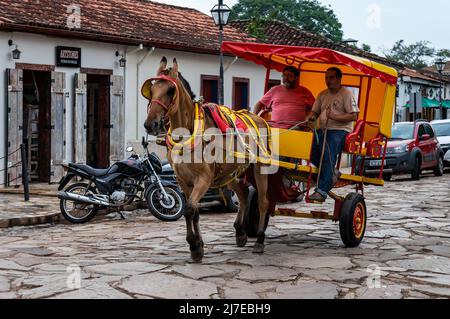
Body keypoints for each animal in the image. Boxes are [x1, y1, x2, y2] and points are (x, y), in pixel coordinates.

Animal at [144, 57, 270, 262]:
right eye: (152, 88)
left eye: (170, 90)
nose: (150, 124)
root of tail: (257, 117)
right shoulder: (183, 181)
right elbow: (193, 211)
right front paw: (198, 245)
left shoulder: (203, 179)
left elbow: (189, 209)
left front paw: (194, 245)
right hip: (229, 173)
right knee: (243, 194)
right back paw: (240, 233)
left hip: (260, 168)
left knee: (263, 202)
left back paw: (259, 240)